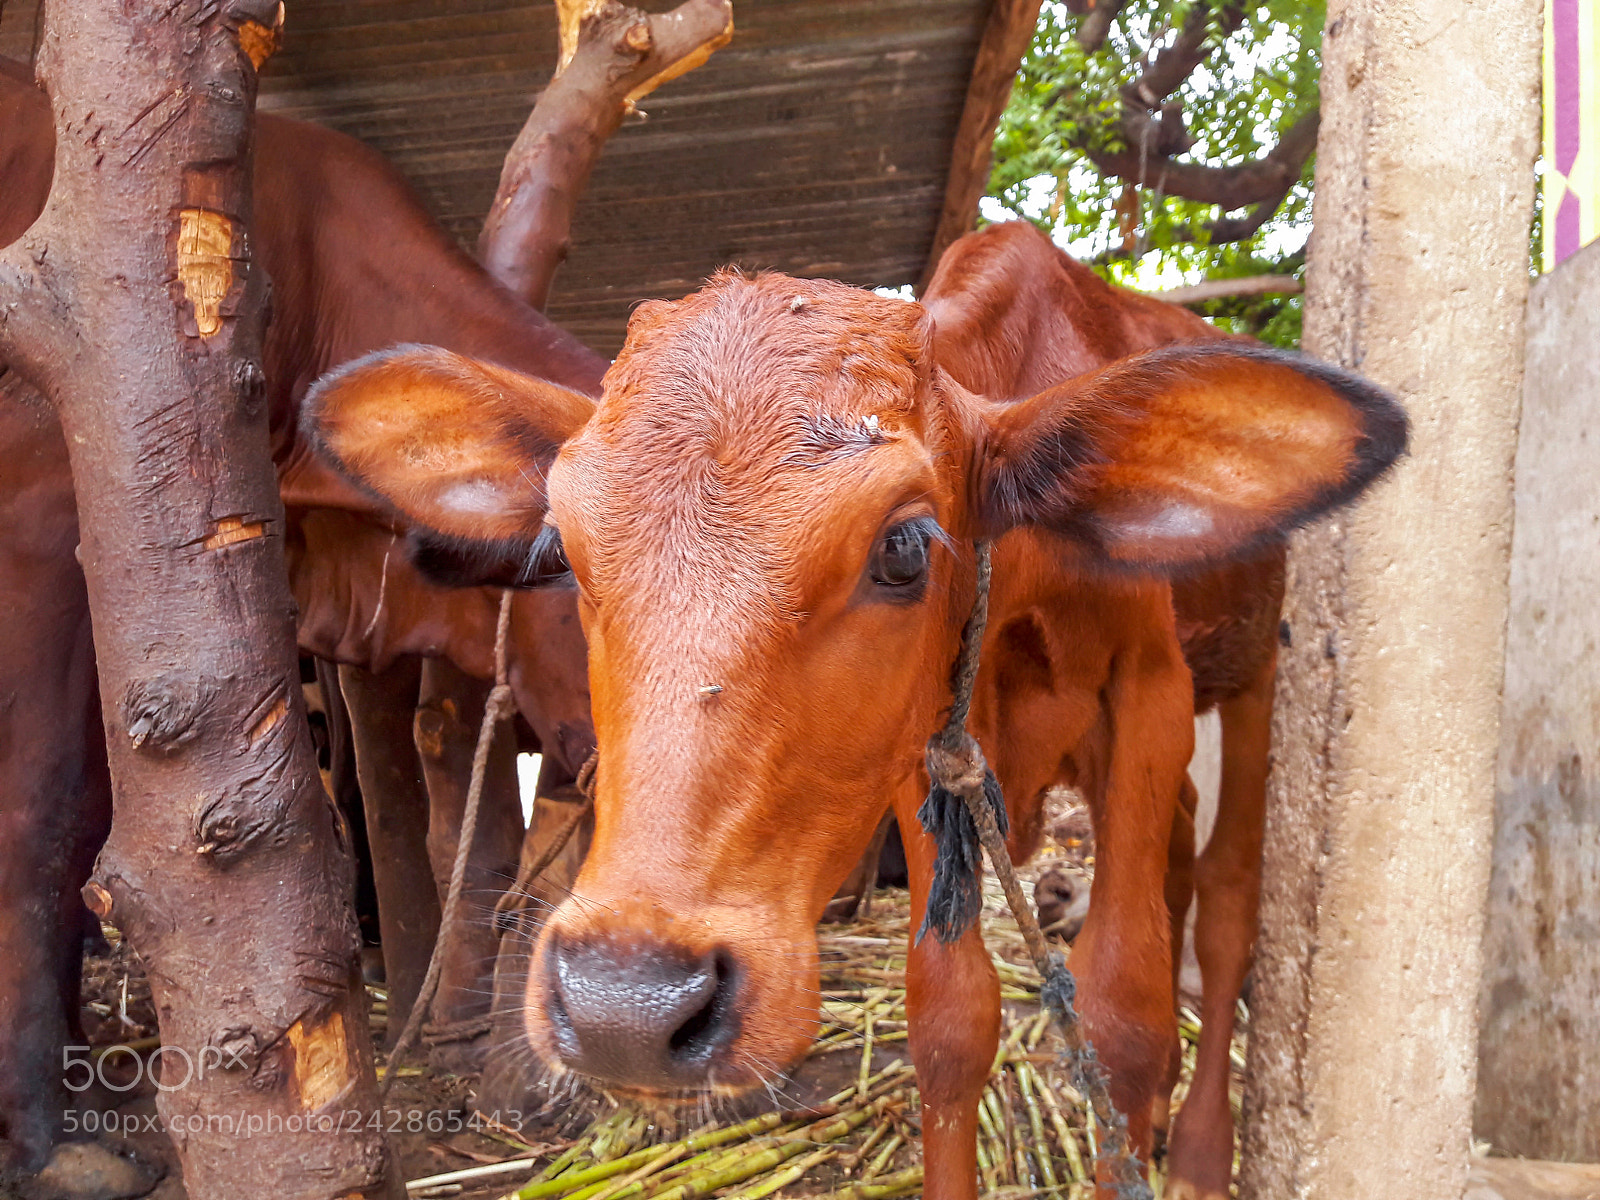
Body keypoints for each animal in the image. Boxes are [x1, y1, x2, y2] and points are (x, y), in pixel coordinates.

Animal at [305, 229, 1406, 1199]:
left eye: (906, 548)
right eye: (564, 553)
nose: (627, 1005)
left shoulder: (1148, 692)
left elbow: (1127, 1012)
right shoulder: (926, 746)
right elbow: (950, 1022)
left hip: (1253, 676)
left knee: (1224, 908)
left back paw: (1197, 1154)